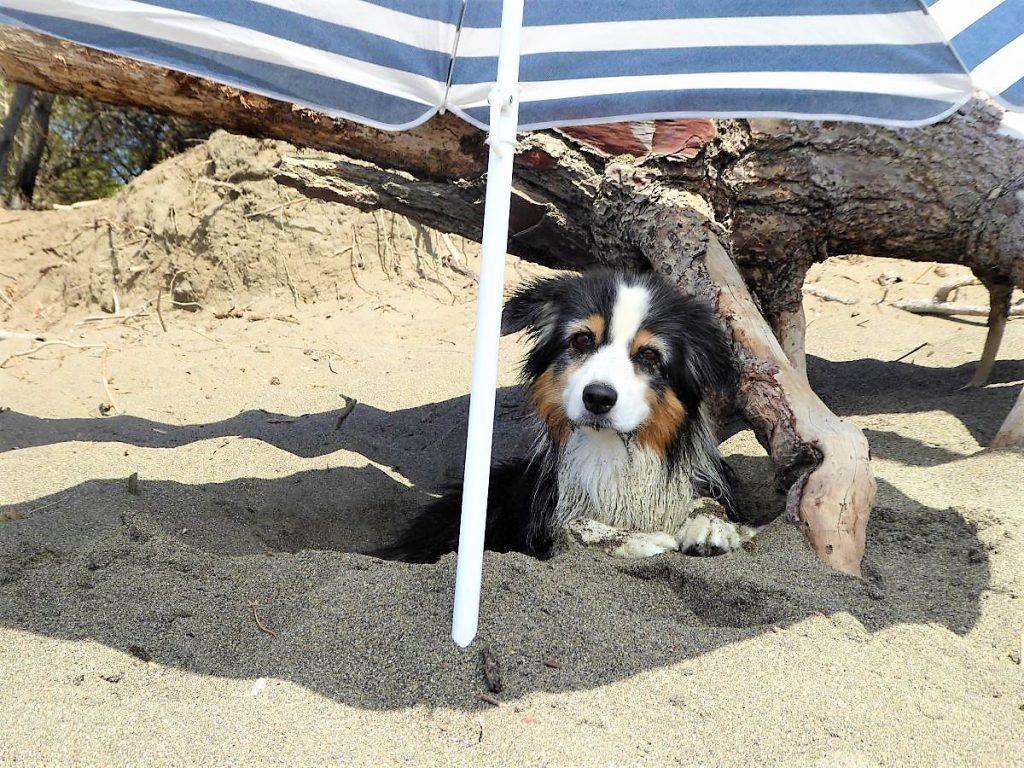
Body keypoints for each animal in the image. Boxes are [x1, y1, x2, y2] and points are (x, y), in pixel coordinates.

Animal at [374, 268, 761, 561]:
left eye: (649, 355)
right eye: (581, 340)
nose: (598, 398)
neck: (613, 451)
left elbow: (708, 503)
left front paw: (712, 526)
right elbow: (572, 525)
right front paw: (639, 539)